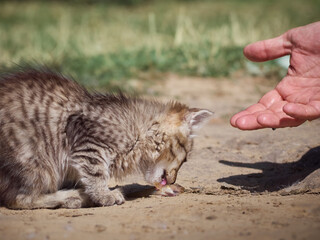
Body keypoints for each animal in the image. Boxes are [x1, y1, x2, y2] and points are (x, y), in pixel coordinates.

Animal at [0, 68, 214, 209]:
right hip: (36, 162)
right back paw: (75, 196)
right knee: (19, 199)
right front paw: (104, 194)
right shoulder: (88, 143)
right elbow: (96, 173)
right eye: (184, 158)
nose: (173, 179)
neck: (140, 131)